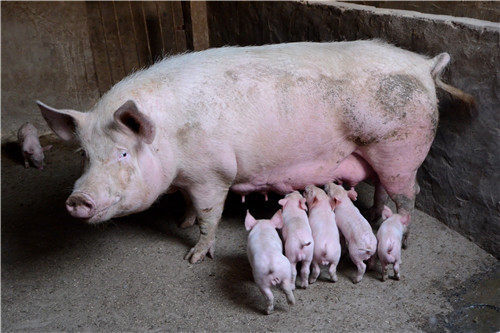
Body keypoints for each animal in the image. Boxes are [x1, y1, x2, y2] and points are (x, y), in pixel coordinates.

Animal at [37, 39, 474, 262]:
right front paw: (180, 221)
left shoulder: (212, 174)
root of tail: (425, 65)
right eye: (84, 155)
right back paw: (374, 215)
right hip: (382, 155)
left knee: (410, 194)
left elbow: (208, 215)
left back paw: (403, 237)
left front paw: (194, 255)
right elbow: (187, 205)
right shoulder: (187, 178)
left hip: (401, 148)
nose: (77, 200)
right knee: (386, 189)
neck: (169, 140)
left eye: (123, 154)